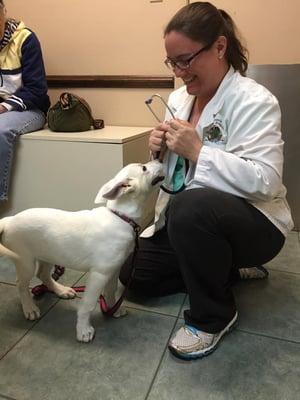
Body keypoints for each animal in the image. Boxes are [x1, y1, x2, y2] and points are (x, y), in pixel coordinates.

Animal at [0, 161, 164, 342]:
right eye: (144, 168)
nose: (159, 160)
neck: (121, 217)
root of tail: (8, 220)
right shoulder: (99, 274)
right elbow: (88, 304)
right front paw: (83, 330)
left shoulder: (113, 270)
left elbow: (111, 291)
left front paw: (112, 309)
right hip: (25, 260)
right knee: (21, 284)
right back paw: (29, 308)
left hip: (48, 254)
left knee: (43, 274)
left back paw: (62, 290)